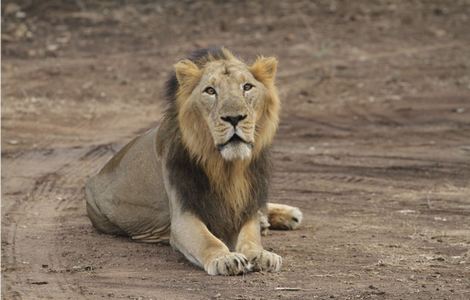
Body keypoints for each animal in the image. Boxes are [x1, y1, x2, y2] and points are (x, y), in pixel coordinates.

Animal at [85, 48, 302, 276]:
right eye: (210, 91)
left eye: (247, 87)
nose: (234, 118)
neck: (227, 167)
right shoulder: (183, 216)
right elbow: (207, 240)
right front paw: (225, 258)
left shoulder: (246, 204)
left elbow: (251, 237)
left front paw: (261, 254)